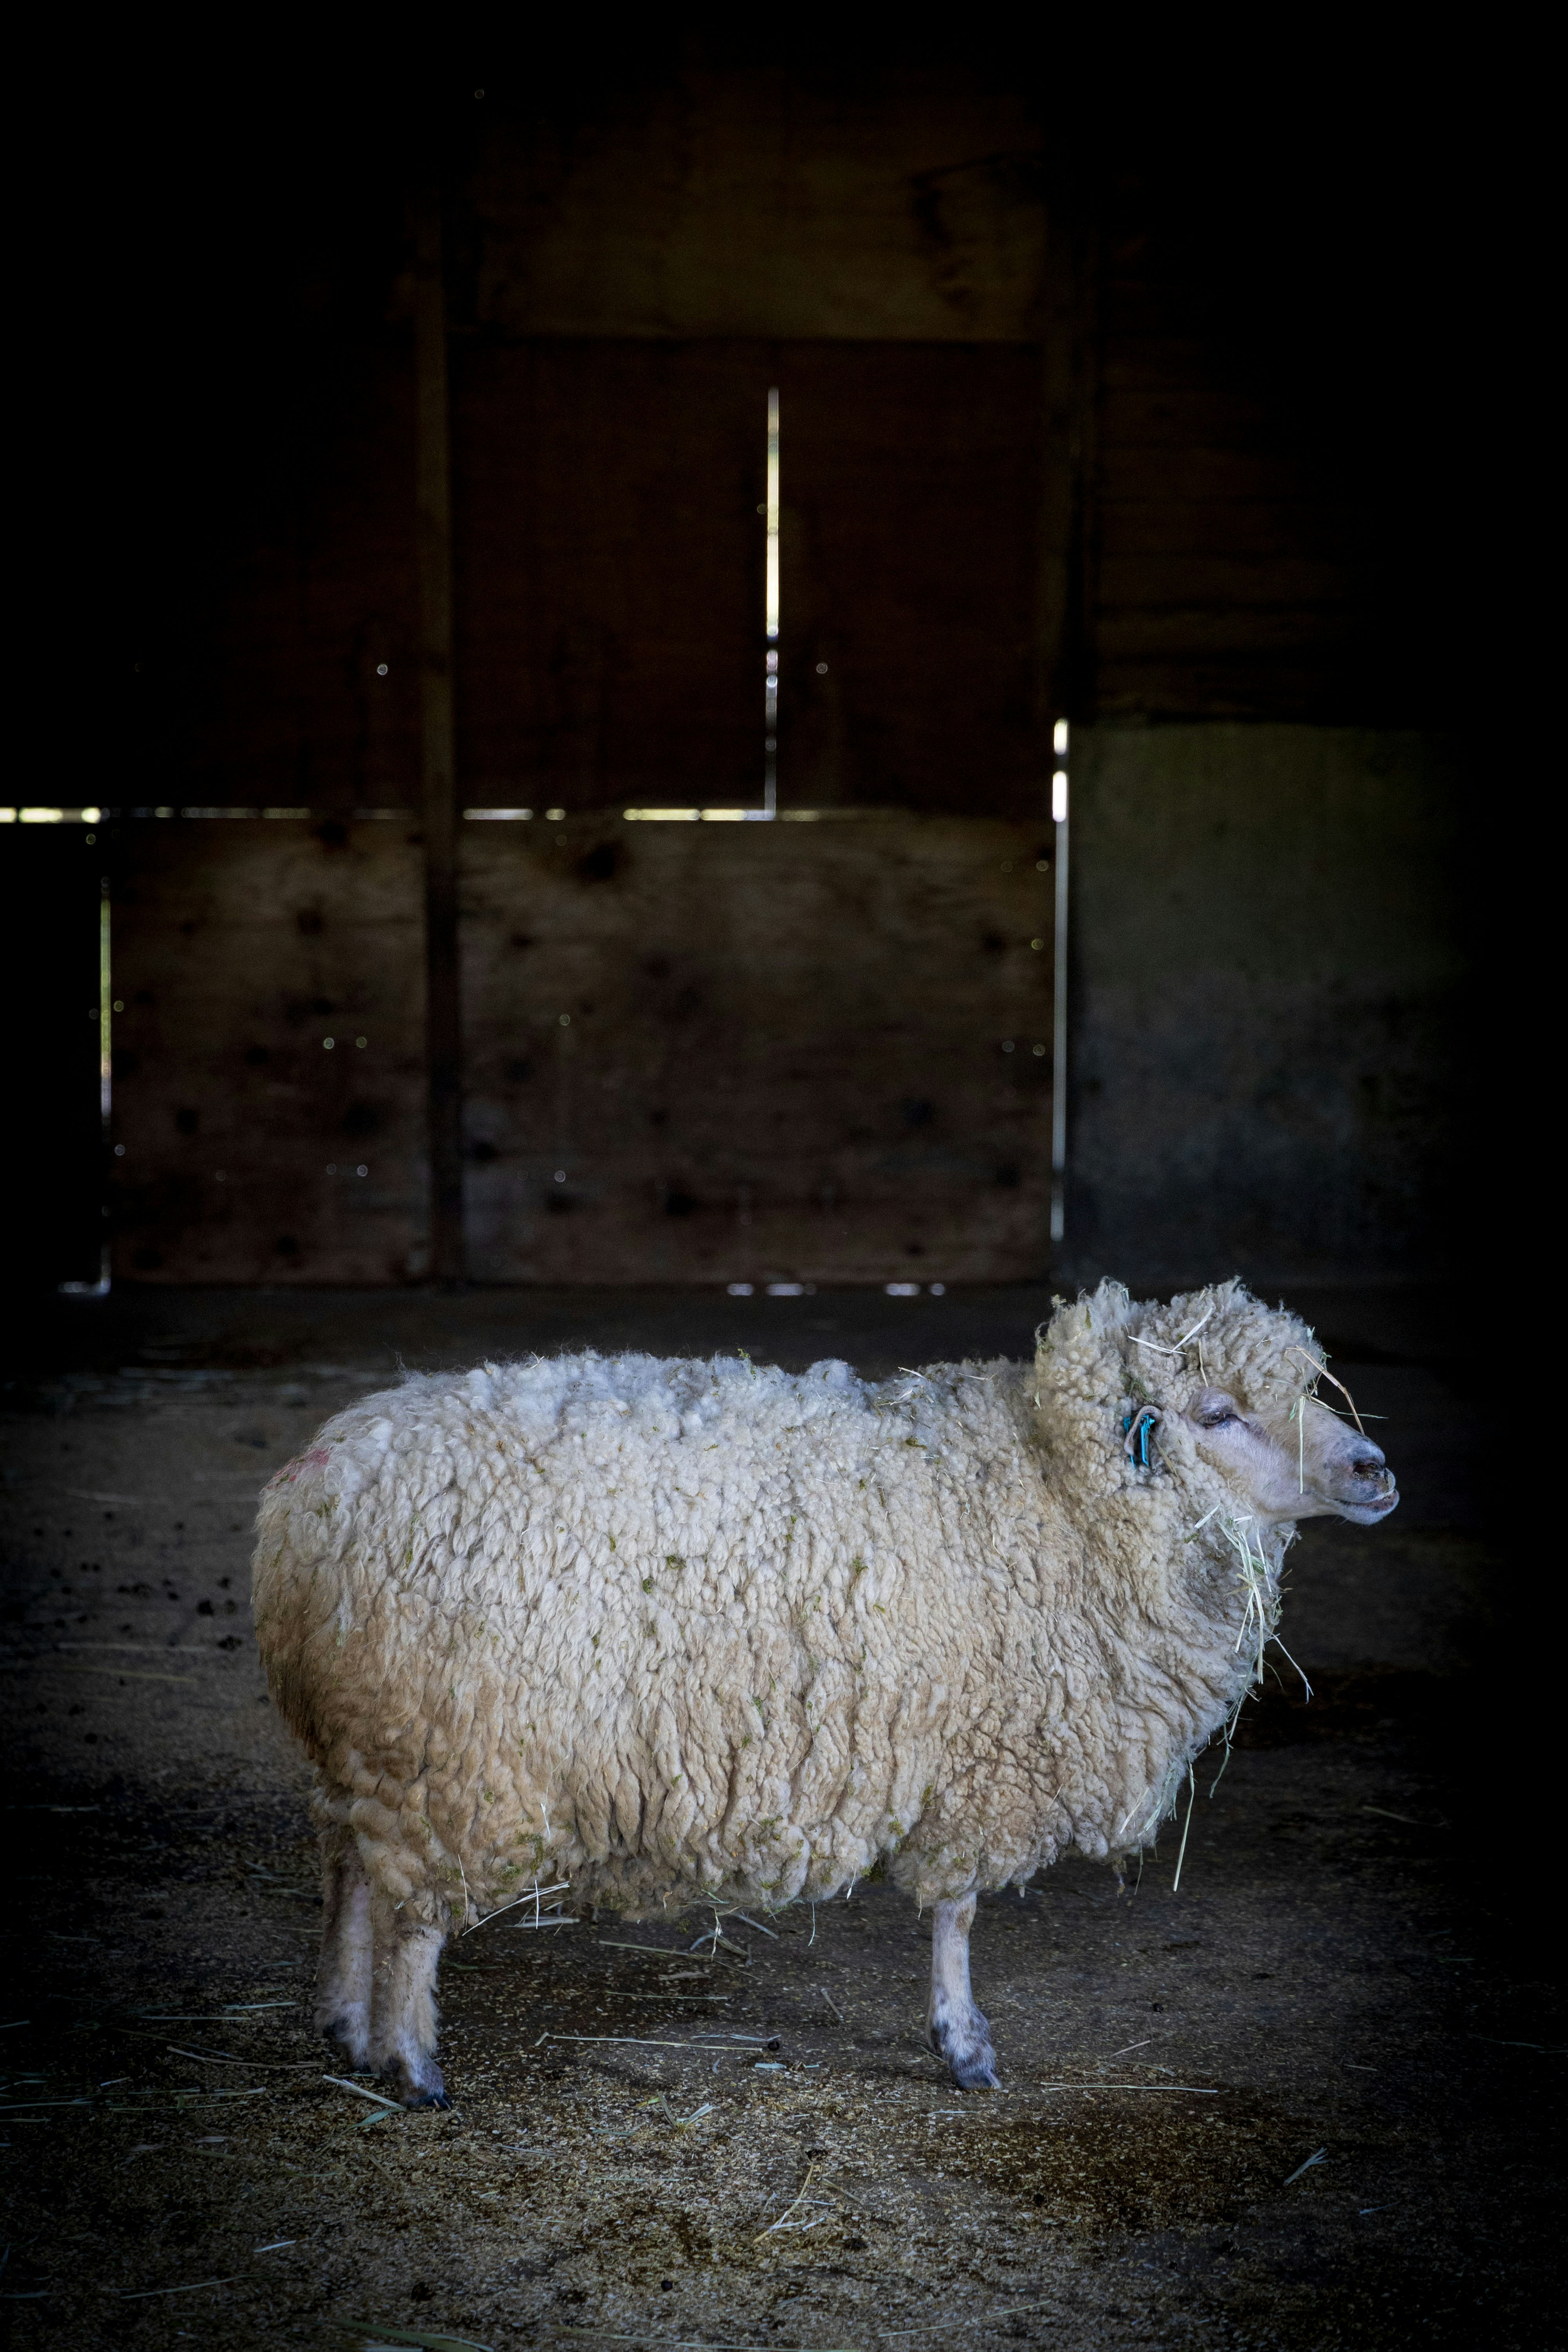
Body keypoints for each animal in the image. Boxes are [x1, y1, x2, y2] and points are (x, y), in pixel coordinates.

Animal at [255, 1289, 1401, 2117]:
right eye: (1218, 1415)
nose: (1374, 1468)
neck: (1051, 1495)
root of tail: (316, 1488)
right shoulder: (982, 1758)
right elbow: (957, 1908)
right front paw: (962, 2042)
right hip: (449, 1756)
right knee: (409, 1911)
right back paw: (412, 2062)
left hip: (363, 1738)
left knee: (345, 1862)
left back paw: (344, 2024)